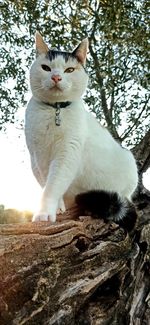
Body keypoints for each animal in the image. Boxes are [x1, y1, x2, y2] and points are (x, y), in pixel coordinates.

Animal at [24, 29, 138, 228]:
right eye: (46, 68)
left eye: (69, 70)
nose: (56, 77)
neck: (55, 110)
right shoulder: (38, 156)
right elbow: (47, 183)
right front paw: (57, 208)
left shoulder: (67, 152)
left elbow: (53, 185)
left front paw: (44, 213)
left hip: (129, 167)